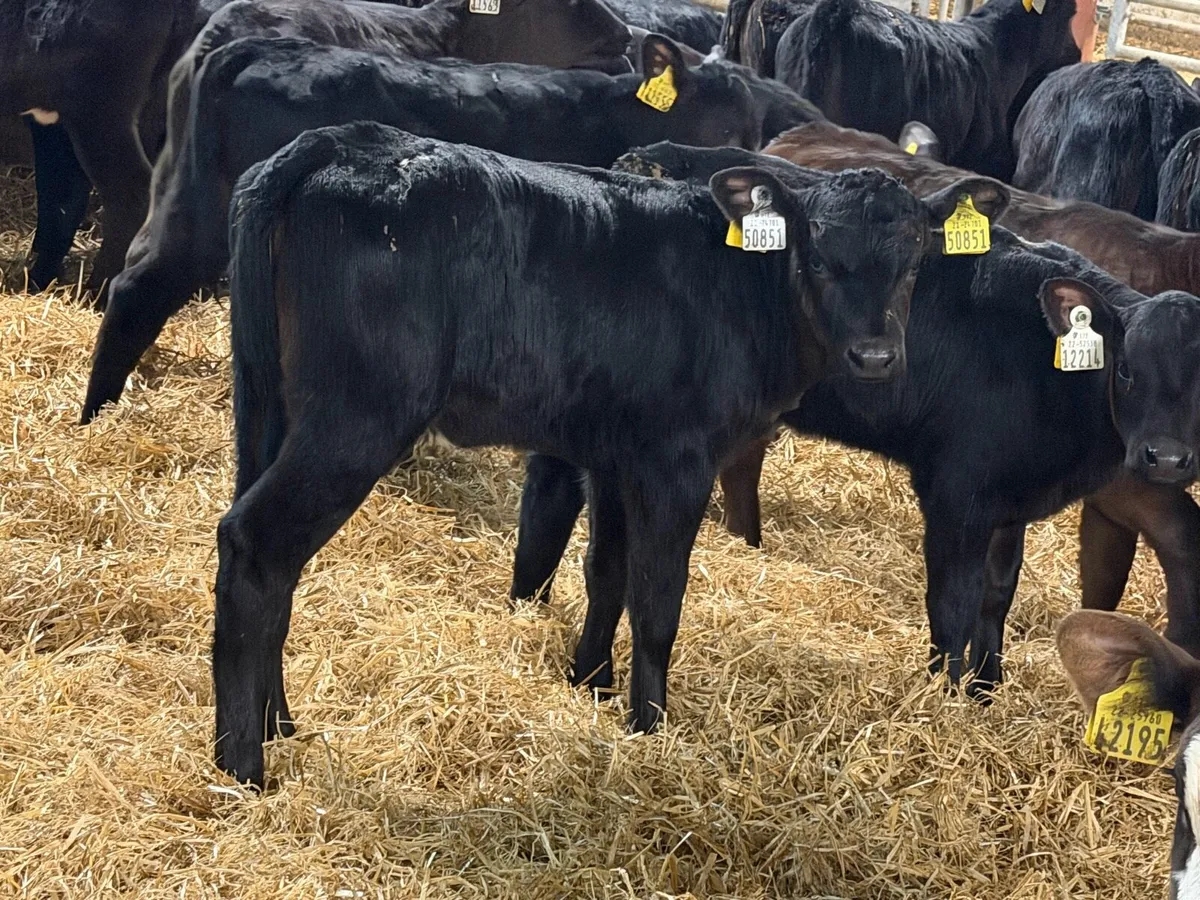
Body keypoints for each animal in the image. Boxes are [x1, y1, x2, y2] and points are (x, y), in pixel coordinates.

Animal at [81, 35, 821, 423]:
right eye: (727, 128)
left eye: (756, 127)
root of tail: (262, 43)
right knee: (145, 289)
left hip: (184, 202)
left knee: (134, 284)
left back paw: (100, 413)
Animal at [212, 120, 993, 786]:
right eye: (821, 259)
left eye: (914, 263)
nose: (875, 356)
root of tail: (339, 140)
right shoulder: (676, 460)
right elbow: (657, 598)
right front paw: (649, 725)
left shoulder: (616, 457)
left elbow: (606, 574)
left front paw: (591, 682)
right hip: (357, 415)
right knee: (256, 544)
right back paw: (242, 764)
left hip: (268, 406)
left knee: (267, 563)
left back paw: (279, 723)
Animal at [507, 141, 1200, 704]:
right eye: (1128, 370)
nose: (1164, 458)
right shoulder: (957, 492)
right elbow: (952, 605)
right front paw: (944, 700)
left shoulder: (1011, 502)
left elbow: (995, 599)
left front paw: (986, 693)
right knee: (550, 487)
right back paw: (524, 604)